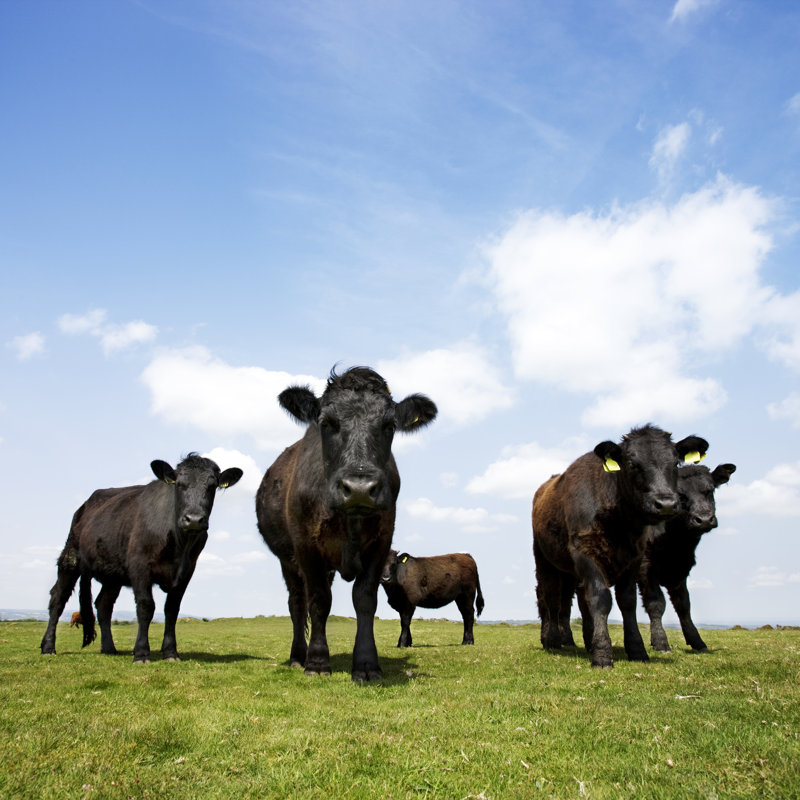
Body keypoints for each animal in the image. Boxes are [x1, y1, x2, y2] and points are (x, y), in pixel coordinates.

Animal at [40, 454, 242, 662]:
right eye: (179, 484)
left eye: (212, 486)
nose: (194, 519)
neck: (179, 545)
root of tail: (85, 504)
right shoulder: (140, 565)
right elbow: (146, 607)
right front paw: (141, 653)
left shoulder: (187, 570)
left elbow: (172, 609)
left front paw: (170, 652)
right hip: (70, 556)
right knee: (57, 599)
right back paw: (48, 646)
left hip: (113, 574)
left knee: (103, 605)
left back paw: (109, 647)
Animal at [256, 366, 437, 682]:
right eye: (327, 422)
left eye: (389, 425)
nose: (360, 488)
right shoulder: (305, 546)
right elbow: (318, 601)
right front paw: (317, 662)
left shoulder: (381, 542)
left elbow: (364, 599)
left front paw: (366, 664)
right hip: (287, 559)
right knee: (297, 602)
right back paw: (298, 656)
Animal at [531, 425, 708, 668]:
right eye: (632, 464)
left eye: (675, 462)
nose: (666, 504)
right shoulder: (587, 553)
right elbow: (600, 599)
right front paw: (602, 654)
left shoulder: (634, 559)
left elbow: (627, 602)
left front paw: (636, 649)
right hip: (545, 561)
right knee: (551, 600)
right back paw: (551, 641)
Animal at [638, 462, 736, 653]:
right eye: (681, 495)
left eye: (710, 490)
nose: (704, 519)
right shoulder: (646, 567)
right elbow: (656, 603)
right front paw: (660, 641)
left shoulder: (681, 570)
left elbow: (684, 605)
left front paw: (696, 640)